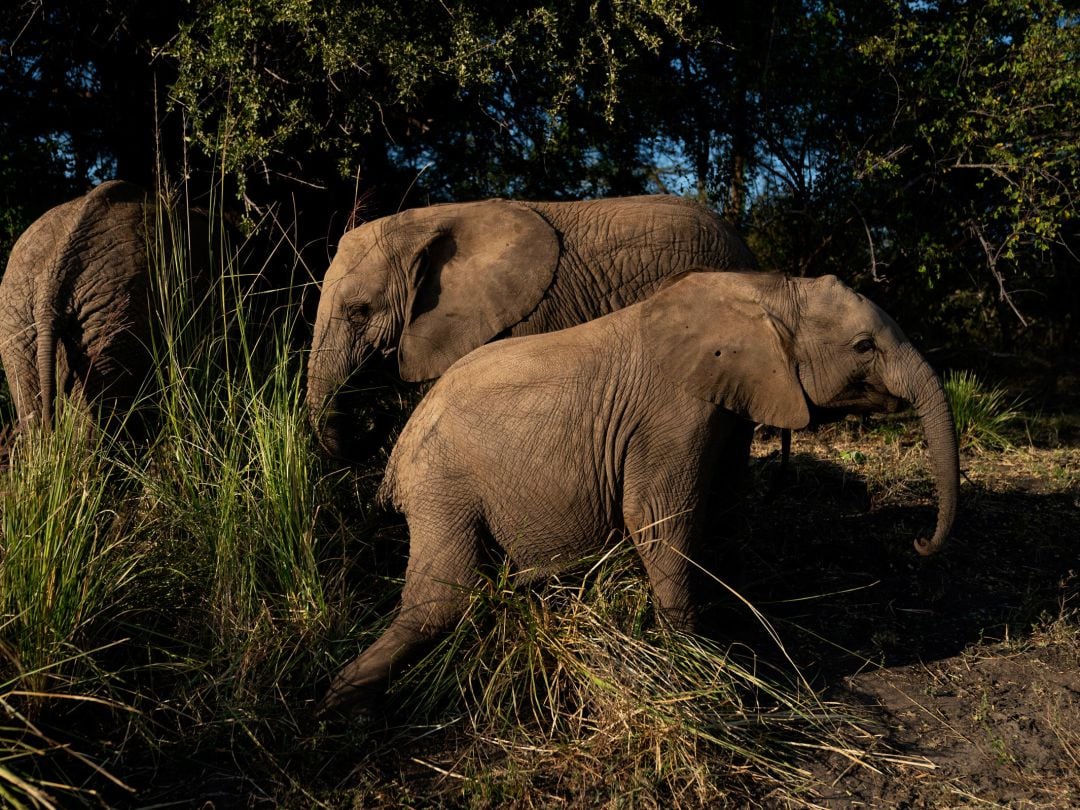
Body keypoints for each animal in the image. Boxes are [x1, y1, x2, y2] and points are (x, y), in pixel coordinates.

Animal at [321, 270, 963, 712]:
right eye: (863, 347)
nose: (920, 546)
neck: (771, 291)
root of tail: (396, 459)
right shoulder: (673, 411)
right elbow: (658, 519)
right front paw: (700, 666)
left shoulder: (728, 405)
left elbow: (719, 509)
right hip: (443, 481)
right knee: (443, 597)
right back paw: (340, 699)